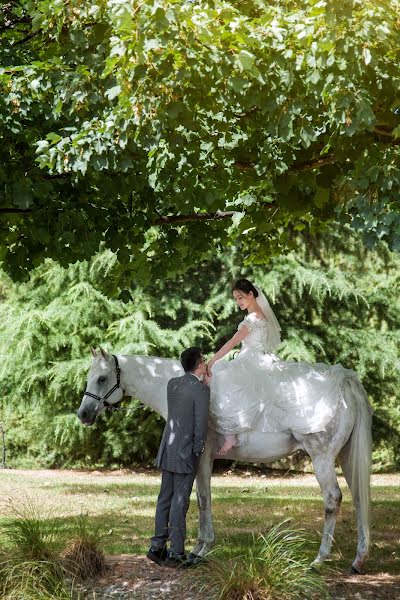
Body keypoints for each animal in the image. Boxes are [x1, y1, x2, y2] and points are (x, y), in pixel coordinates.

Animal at [77, 346, 372, 572]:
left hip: (322, 458)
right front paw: (197, 548)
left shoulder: (202, 458)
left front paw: (200, 550)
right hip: (346, 458)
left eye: (102, 378)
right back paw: (358, 560)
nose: (83, 414)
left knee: (333, 500)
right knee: (359, 498)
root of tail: (343, 380)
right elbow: (199, 499)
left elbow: (202, 499)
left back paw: (319, 560)